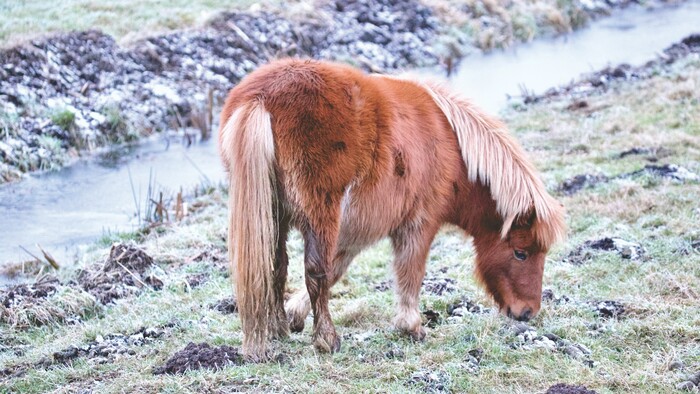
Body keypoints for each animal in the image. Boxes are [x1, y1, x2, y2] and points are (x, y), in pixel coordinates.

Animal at [220, 57, 568, 360]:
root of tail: (261, 98)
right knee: (314, 271)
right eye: (520, 253)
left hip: (274, 217)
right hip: (321, 215)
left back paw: (278, 328)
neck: (453, 148)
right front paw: (411, 327)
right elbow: (408, 271)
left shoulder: (355, 229)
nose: (527, 312)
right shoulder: (418, 224)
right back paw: (327, 340)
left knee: (276, 266)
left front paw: (295, 314)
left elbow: (337, 267)